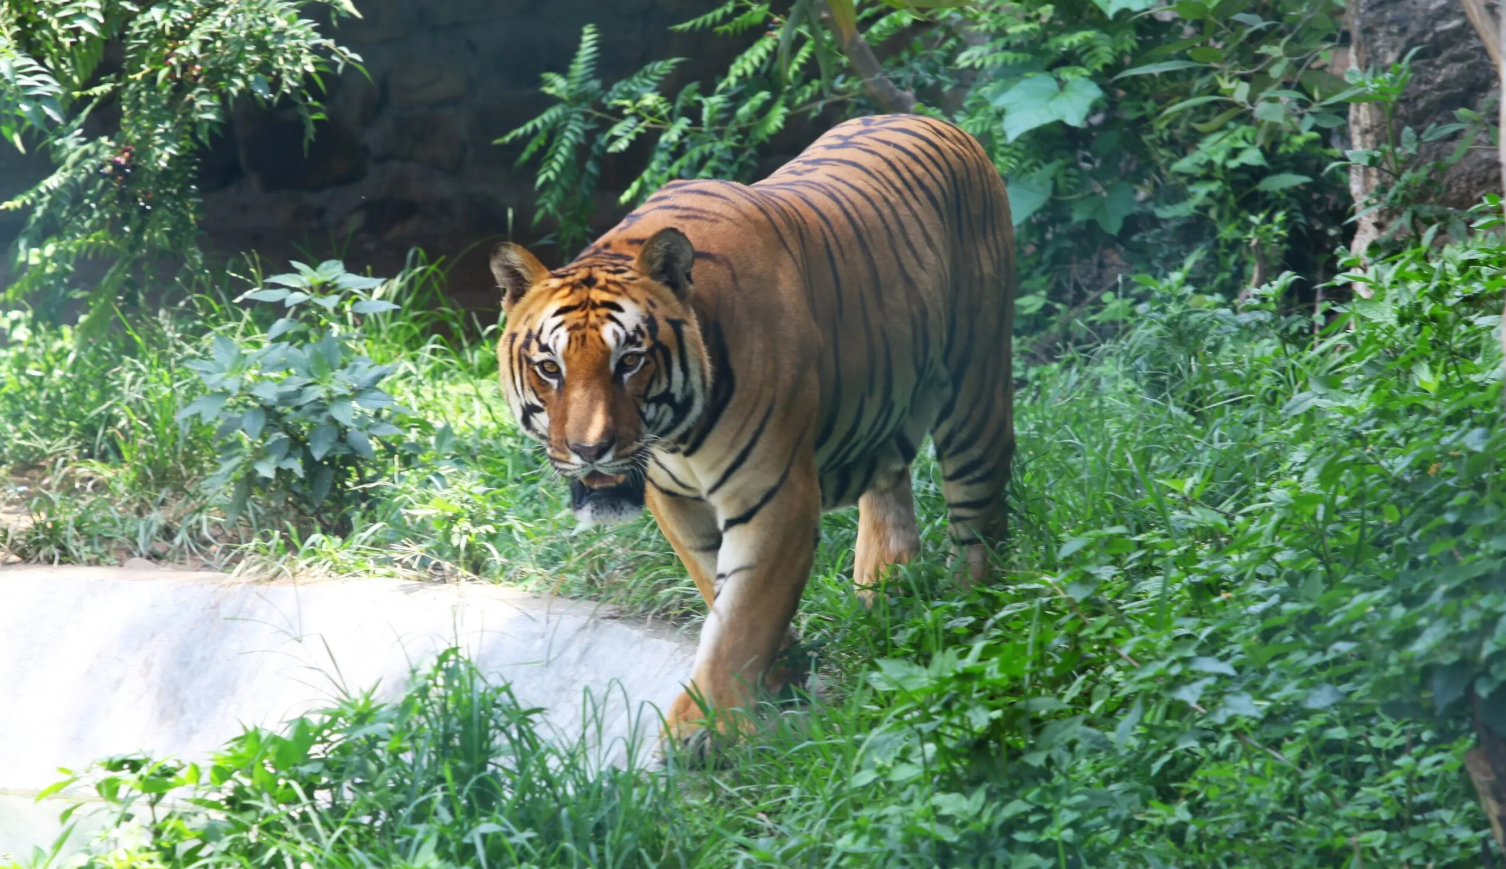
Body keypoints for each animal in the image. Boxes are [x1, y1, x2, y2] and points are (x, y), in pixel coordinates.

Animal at [491, 113, 1016, 748]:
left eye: (630, 361)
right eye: (550, 367)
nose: (590, 450)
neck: (677, 438)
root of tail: (937, 121)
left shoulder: (775, 494)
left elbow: (743, 611)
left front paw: (704, 730)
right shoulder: (673, 501)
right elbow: (718, 588)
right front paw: (779, 677)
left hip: (977, 394)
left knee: (979, 524)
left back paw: (971, 620)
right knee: (890, 482)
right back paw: (886, 587)